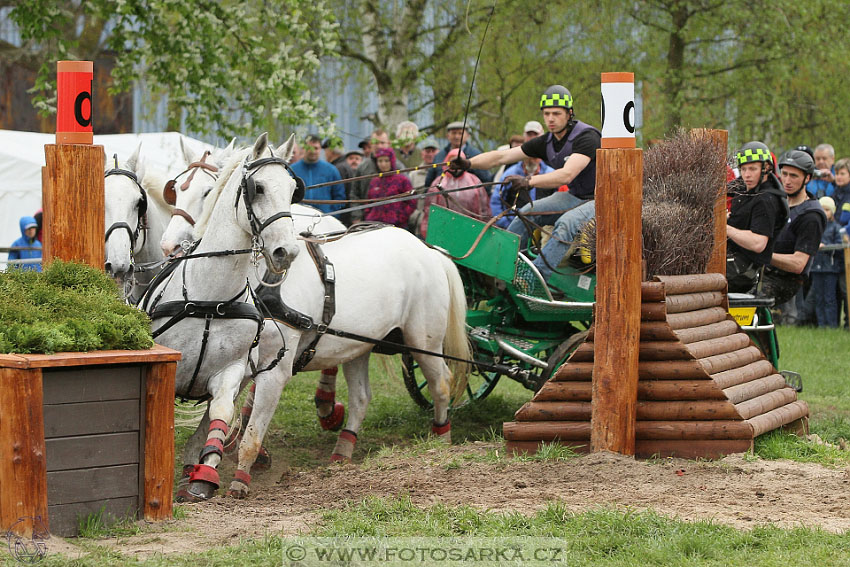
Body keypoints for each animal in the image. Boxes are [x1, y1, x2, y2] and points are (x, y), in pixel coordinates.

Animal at [144, 132, 304, 502]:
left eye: (294, 190)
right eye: (258, 187)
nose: (286, 252)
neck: (210, 299)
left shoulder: (229, 372)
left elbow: (219, 416)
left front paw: (203, 477)